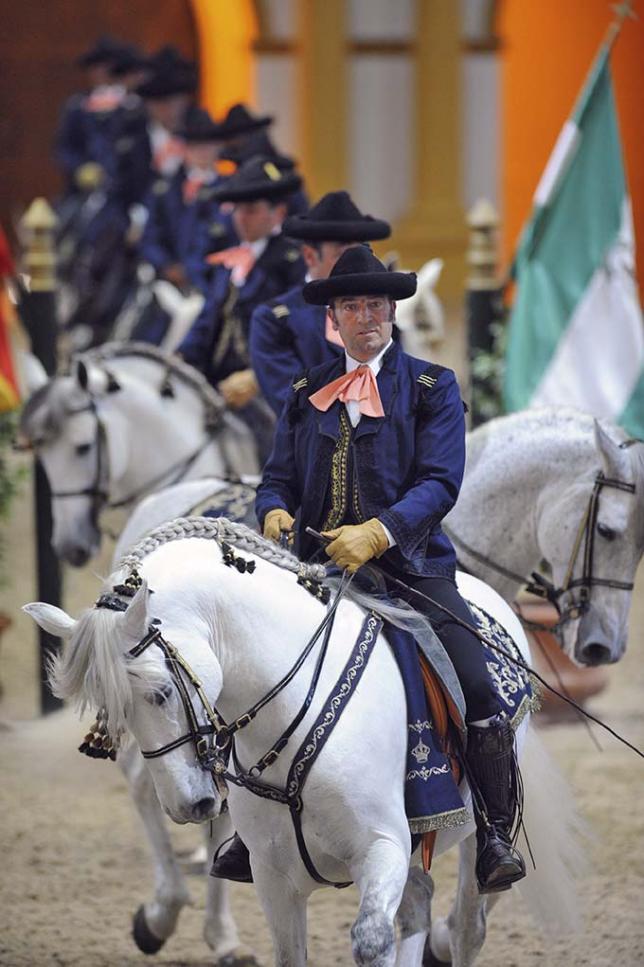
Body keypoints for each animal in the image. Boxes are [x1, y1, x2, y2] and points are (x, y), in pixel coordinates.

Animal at [26, 520, 584, 967]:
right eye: (113, 713)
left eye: (161, 692)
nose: (190, 805)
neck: (291, 711)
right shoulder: (274, 878)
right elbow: (293, 952)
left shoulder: (382, 848)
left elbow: (371, 941)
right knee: (419, 905)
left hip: (470, 844)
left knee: (467, 926)